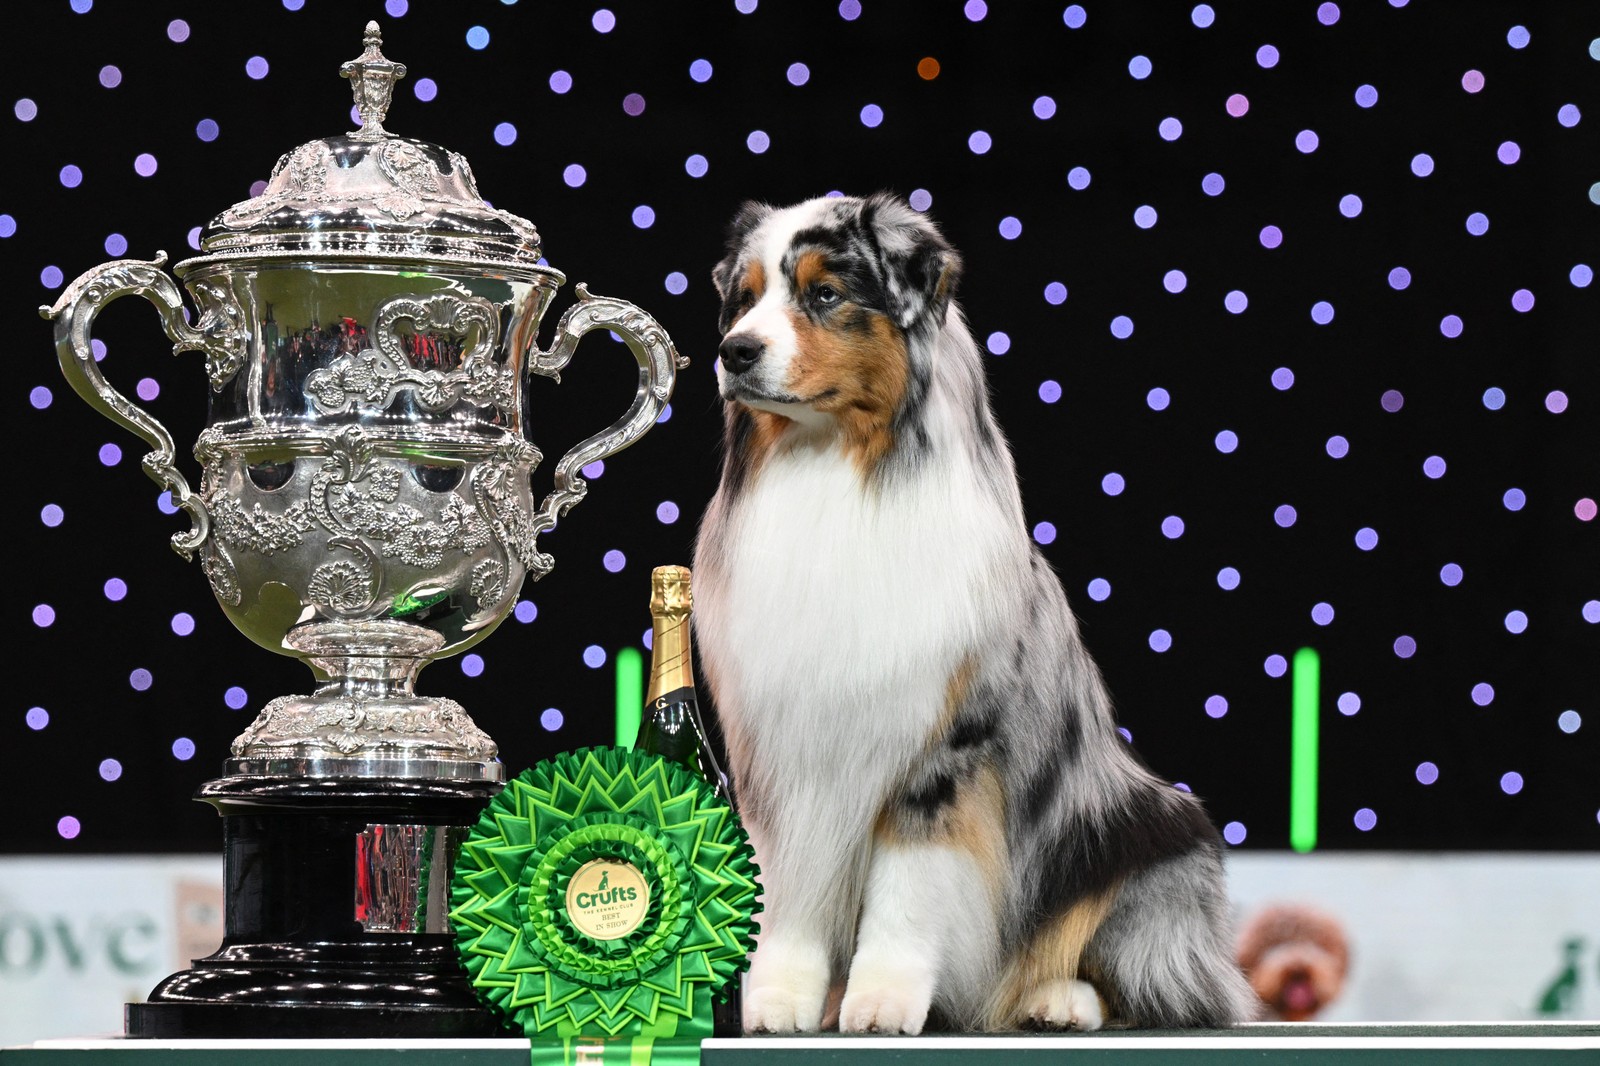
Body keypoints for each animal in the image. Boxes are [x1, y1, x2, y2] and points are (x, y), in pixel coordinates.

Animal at [694, 191, 1254, 1030]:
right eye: (745, 298)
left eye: (824, 293)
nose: (734, 352)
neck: (836, 468)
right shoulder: (779, 744)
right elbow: (789, 887)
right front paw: (779, 998)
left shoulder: (946, 746)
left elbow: (909, 887)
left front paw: (883, 1000)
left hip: (1152, 836)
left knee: (1156, 980)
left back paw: (1057, 999)